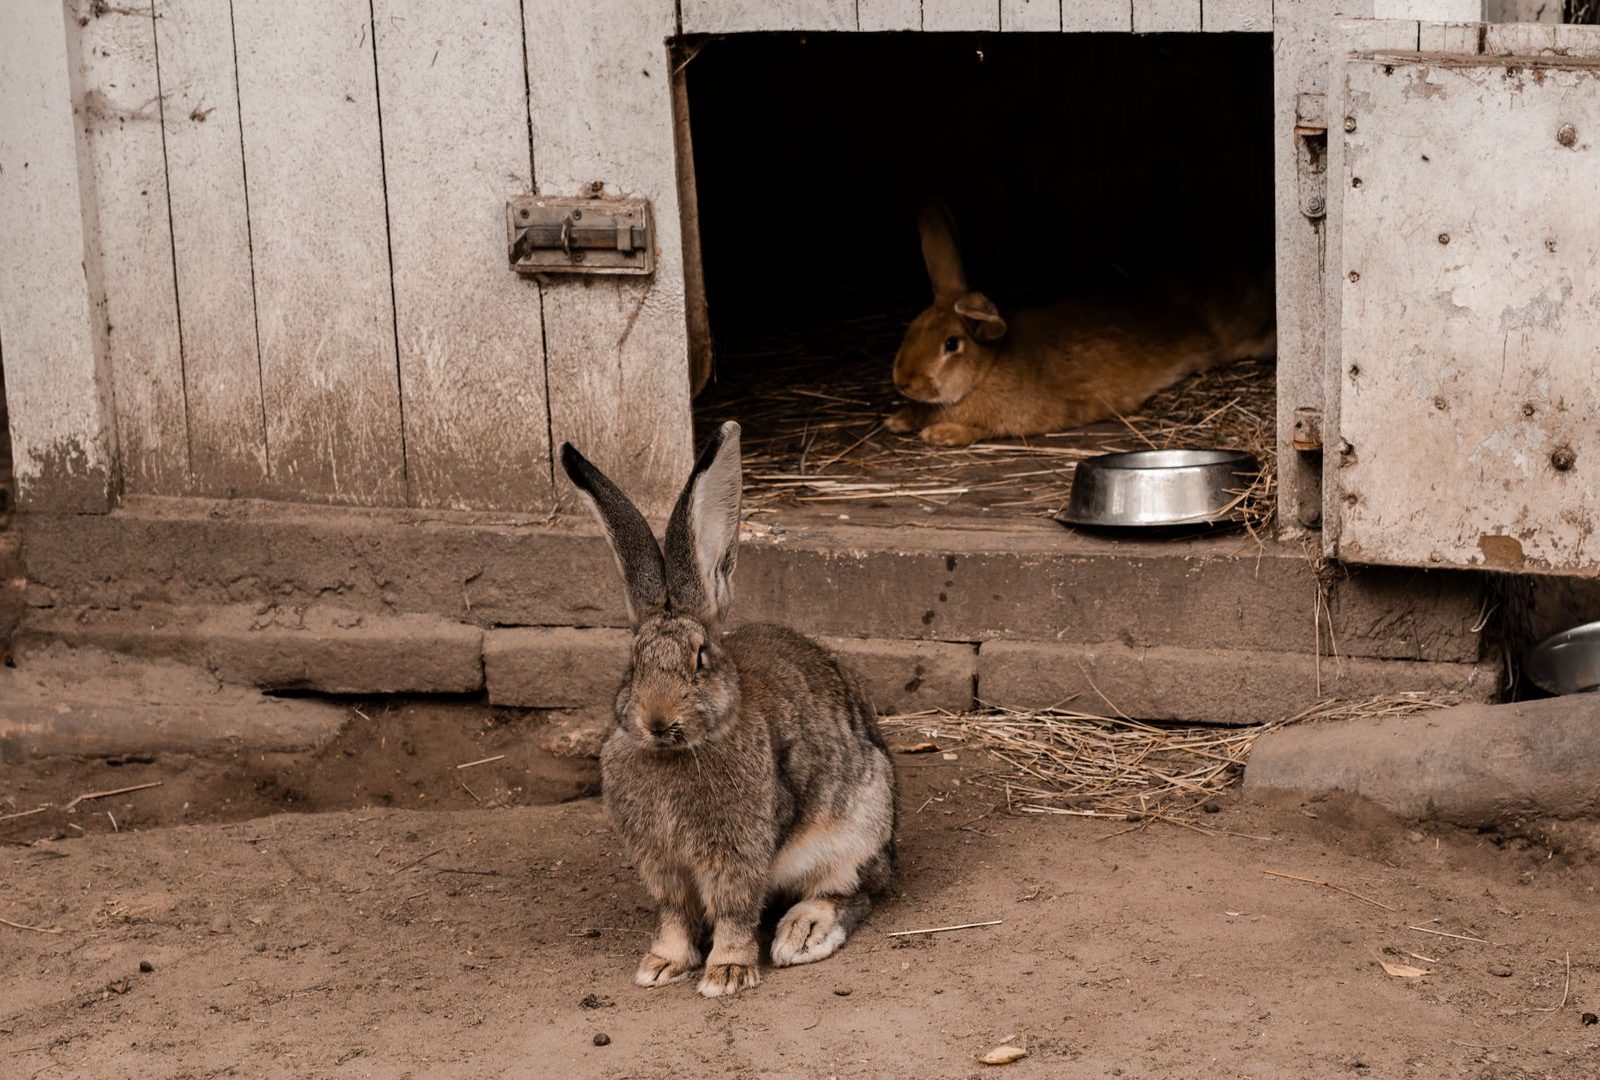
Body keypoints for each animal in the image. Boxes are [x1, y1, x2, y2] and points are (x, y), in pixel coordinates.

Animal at [559, 420, 898, 998]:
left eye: (701, 658)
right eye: (633, 663)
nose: (657, 721)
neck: (681, 752)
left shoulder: (736, 855)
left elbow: (735, 911)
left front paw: (727, 973)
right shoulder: (662, 864)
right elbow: (674, 914)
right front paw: (662, 964)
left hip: (858, 828)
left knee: (854, 892)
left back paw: (803, 934)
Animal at [887, 199, 1277, 447]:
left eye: (951, 344)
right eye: (912, 328)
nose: (903, 382)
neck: (987, 371)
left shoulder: (1015, 419)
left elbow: (983, 429)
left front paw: (940, 434)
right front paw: (898, 420)